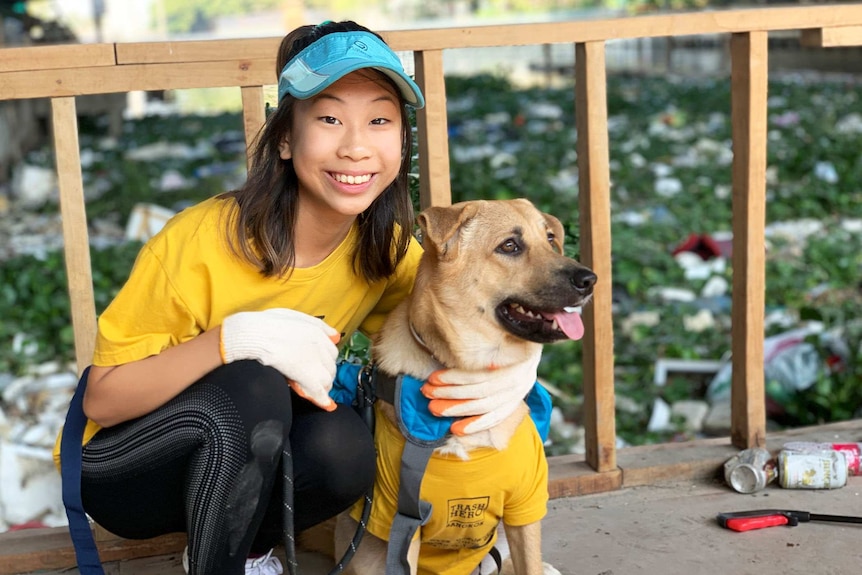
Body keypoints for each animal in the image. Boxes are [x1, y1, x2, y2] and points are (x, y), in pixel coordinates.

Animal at [328, 199, 596, 575]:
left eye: (549, 238)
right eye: (509, 246)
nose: (590, 279)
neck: (470, 368)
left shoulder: (525, 508)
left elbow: (528, 561)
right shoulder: (404, 521)